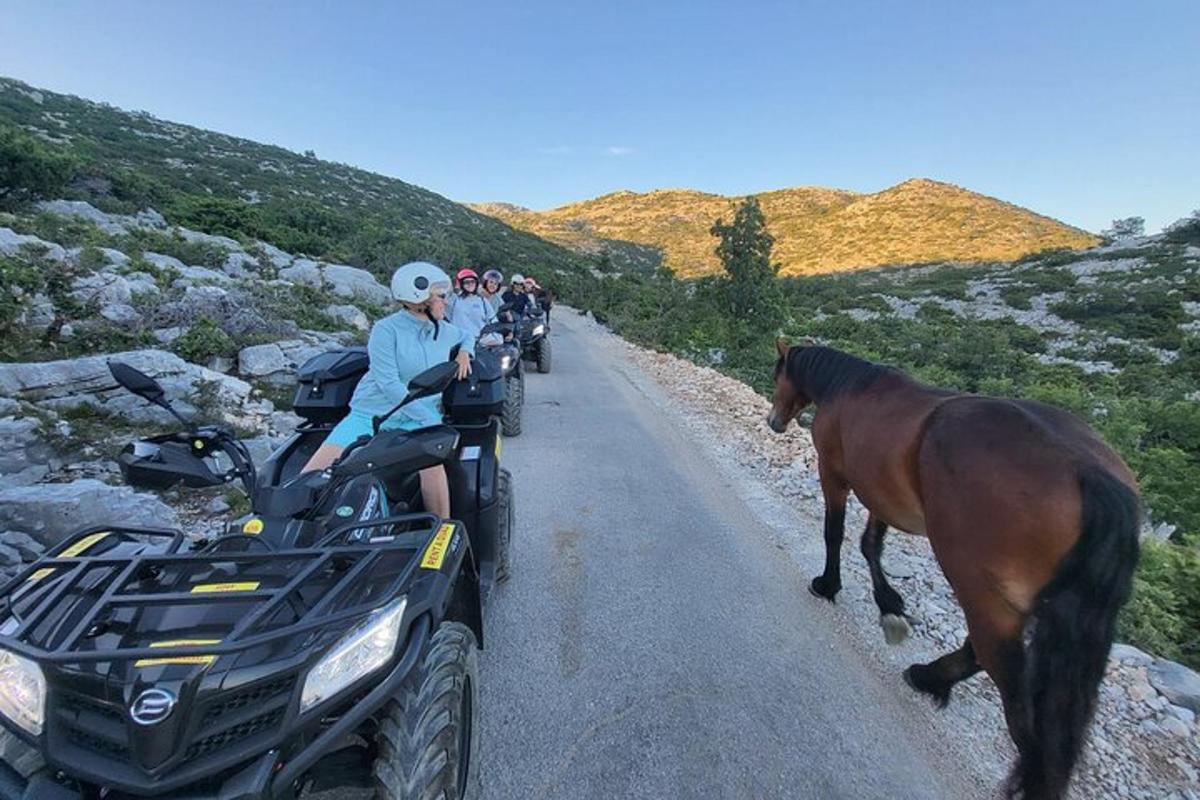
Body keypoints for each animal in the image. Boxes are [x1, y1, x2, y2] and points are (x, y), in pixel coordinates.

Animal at [768, 343, 1142, 800]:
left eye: (778, 374)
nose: (774, 421)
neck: (850, 387)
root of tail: (1090, 474)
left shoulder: (836, 475)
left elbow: (836, 533)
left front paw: (828, 584)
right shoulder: (881, 494)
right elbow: (871, 545)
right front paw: (890, 606)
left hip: (979, 586)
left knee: (1011, 692)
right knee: (981, 653)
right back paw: (929, 677)